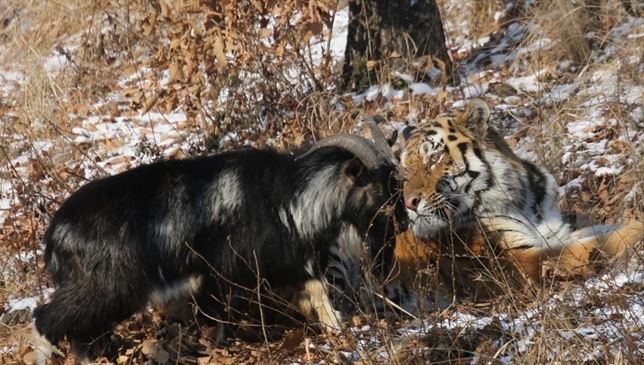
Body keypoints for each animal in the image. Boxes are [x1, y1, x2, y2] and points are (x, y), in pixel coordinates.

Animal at [32, 130, 408, 362]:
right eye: (379, 190)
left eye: (398, 185)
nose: (403, 223)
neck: (290, 196)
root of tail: (54, 235)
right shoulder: (229, 269)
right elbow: (222, 317)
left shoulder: (282, 265)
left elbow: (317, 297)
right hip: (102, 287)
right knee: (47, 321)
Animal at [392, 96, 644, 298]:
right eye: (405, 174)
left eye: (434, 159)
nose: (409, 203)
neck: (520, 199)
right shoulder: (519, 259)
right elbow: (596, 244)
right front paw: (636, 230)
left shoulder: (555, 232)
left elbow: (599, 231)